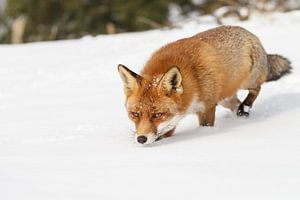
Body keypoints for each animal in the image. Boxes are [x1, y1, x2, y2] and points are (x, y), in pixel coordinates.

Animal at [117, 25, 290, 145]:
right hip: (224, 99)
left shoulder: (207, 107)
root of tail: (250, 33)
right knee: (236, 103)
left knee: (256, 88)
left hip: (249, 80)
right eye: (135, 114)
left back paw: (246, 107)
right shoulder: (173, 120)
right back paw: (242, 115)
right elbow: (165, 132)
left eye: (157, 115)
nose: (141, 139)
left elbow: (205, 127)